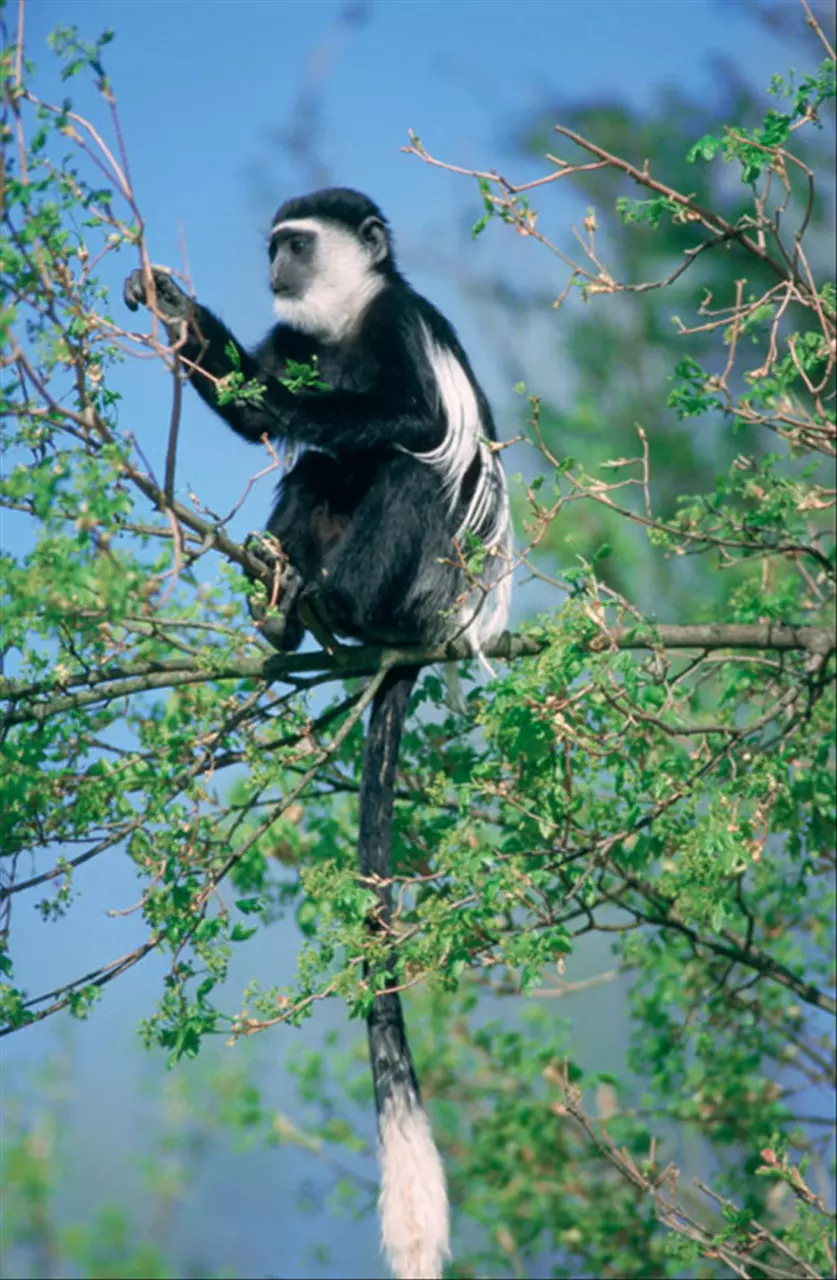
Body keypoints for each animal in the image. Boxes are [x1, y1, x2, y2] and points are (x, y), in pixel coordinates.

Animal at [125, 189, 514, 1280]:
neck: (337, 326)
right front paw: (171, 304)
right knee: (315, 486)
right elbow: (251, 404)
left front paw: (301, 408)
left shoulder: (399, 329)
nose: (275, 267)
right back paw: (282, 601)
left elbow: (411, 423)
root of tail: (435, 628)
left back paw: (342, 601)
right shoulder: (294, 336)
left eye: (295, 244)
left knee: (407, 471)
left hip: (431, 574)